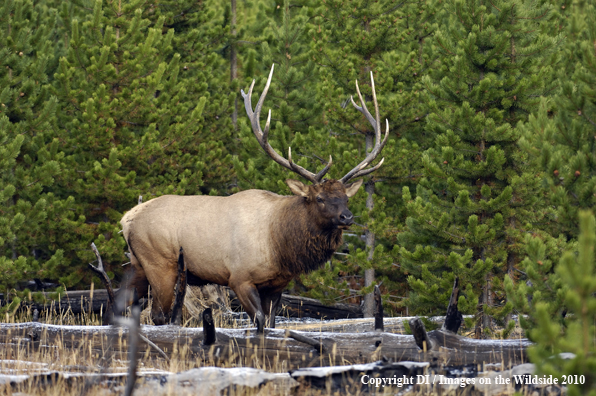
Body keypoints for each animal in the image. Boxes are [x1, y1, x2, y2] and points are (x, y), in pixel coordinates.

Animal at [120, 65, 392, 332]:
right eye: (319, 198)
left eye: (346, 198)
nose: (347, 217)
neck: (280, 244)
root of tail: (126, 219)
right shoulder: (239, 278)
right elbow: (258, 321)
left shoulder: (276, 285)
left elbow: (270, 324)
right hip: (160, 265)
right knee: (158, 315)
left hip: (138, 265)